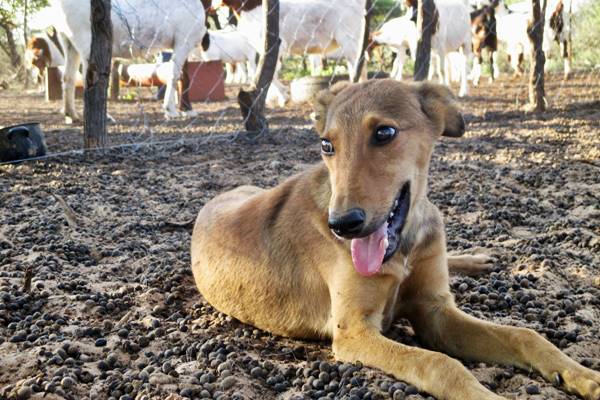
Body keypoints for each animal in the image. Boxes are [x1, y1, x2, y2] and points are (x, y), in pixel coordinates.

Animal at [193, 79, 600, 398]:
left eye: (384, 133)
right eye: (327, 145)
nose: (342, 224)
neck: (404, 245)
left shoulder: (436, 312)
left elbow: (525, 335)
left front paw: (584, 376)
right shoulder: (354, 332)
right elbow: (440, 364)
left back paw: (477, 259)